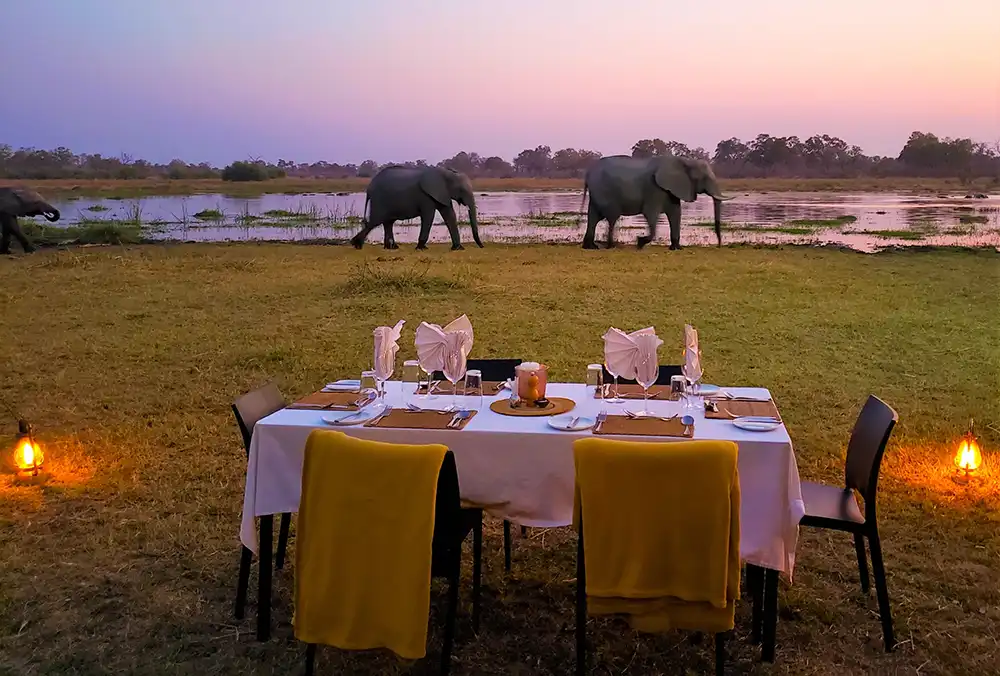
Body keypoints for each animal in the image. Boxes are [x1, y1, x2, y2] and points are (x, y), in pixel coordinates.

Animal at [348, 166, 484, 251]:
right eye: (462, 190)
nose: (482, 246)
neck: (445, 172)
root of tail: (369, 187)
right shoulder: (426, 196)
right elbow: (429, 216)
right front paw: (421, 248)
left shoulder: (441, 193)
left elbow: (449, 215)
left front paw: (458, 249)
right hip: (380, 200)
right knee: (375, 221)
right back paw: (356, 245)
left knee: (387, 222)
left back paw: (391, 248)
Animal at [580, 154, 736, 250]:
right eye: (704, 178)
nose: (719, 245)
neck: (685, 161)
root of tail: (587, 173)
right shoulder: (654, 188)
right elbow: (650, 213)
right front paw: (640, 242)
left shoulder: (671, 189)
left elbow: (676, 213)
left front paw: (676, 248)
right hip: (605, 191)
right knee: (612, 216)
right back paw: (610, 246)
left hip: (597, 192)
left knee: (593, 216)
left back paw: (590, 247)